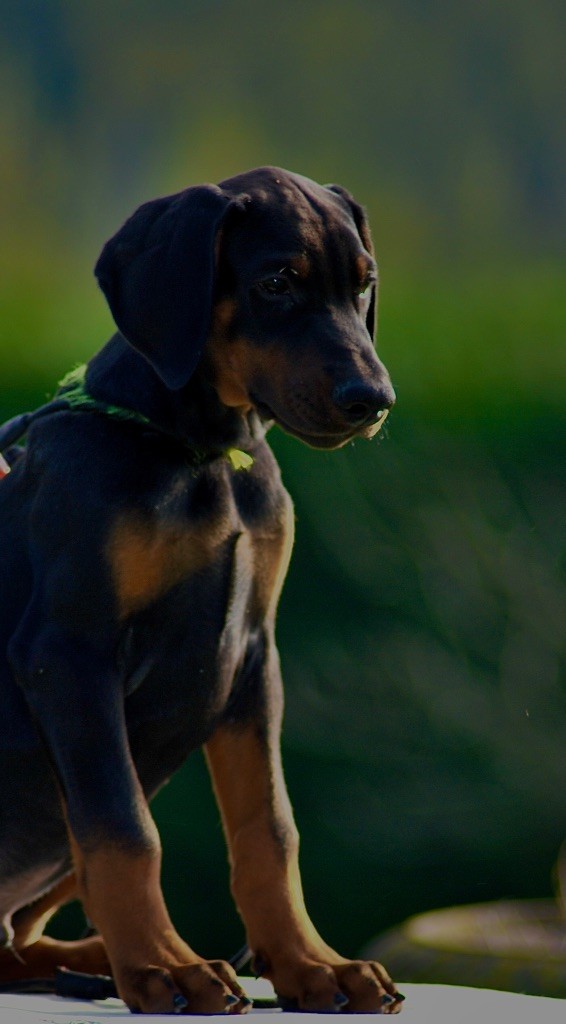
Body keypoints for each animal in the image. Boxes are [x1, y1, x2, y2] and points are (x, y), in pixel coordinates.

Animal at [0, 165, 399, 1007]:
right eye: (276, 282)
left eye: (363, 286)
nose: (372, 400)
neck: (206, 453)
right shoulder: (69, 654)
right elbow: (124, 832)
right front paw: (163, 966)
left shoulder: (253, 658)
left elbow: (269, 827)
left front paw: (311, 963)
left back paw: (89, 961)